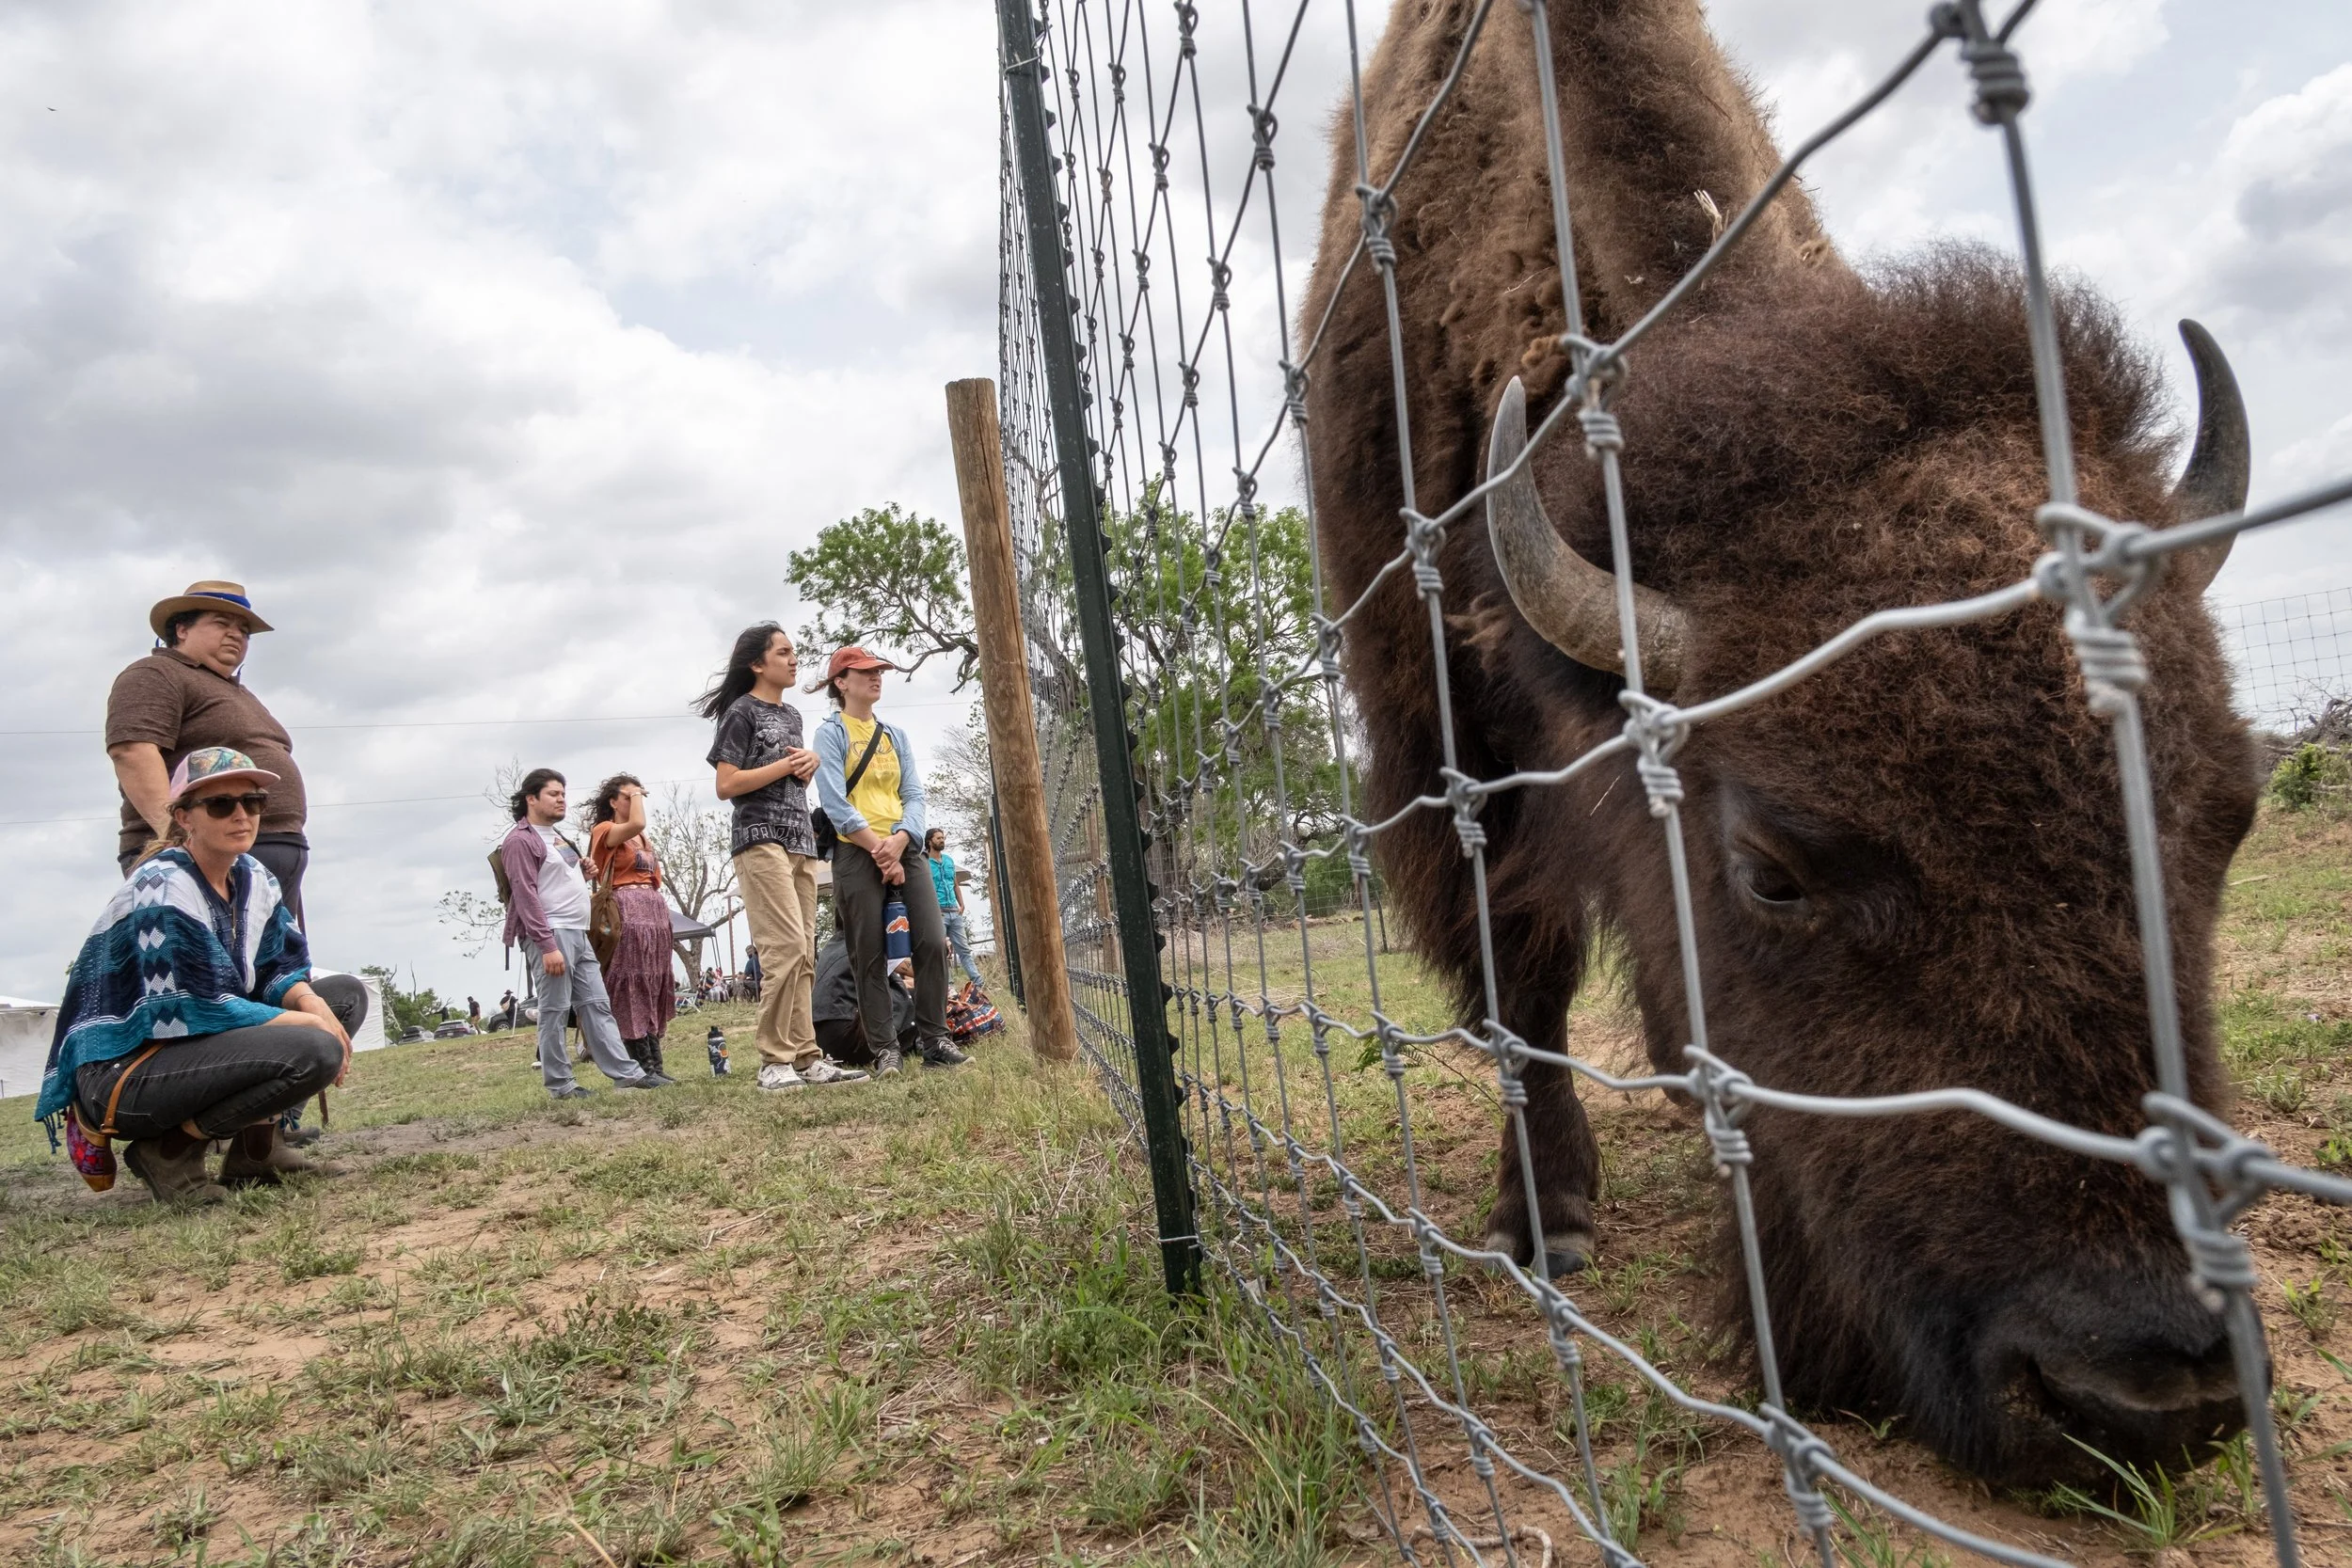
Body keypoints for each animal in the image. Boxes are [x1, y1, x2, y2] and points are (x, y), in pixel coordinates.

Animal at [1301, 0, 2258, 1483]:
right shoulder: (1440, 752)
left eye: (2234, 814)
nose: (2140, 1391)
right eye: (1772, 870)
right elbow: (1520, 974)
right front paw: (1547, 1219)